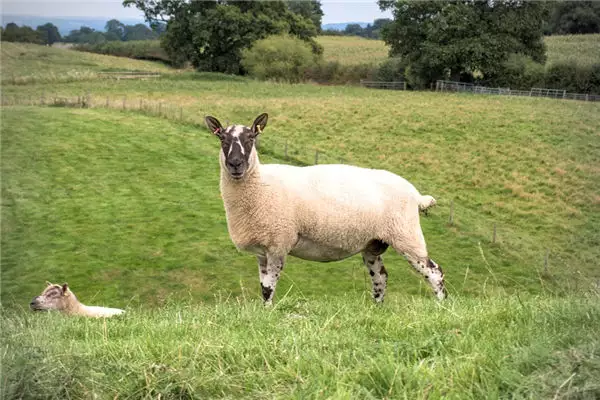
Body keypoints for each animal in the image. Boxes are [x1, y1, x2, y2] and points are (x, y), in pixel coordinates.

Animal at [205, 112, 446, 304]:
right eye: (222, 138)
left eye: (251, 138)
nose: (235, 164)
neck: (261, 184)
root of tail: (416, 195)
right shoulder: (262, 251)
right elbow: (264, 287)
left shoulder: (278, 244)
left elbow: (268, 288)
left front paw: (268, 313)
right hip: (373, 244)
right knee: (381, 277)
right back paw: (377, 308)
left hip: (407, 235)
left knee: (434, 272)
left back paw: (442, 306)